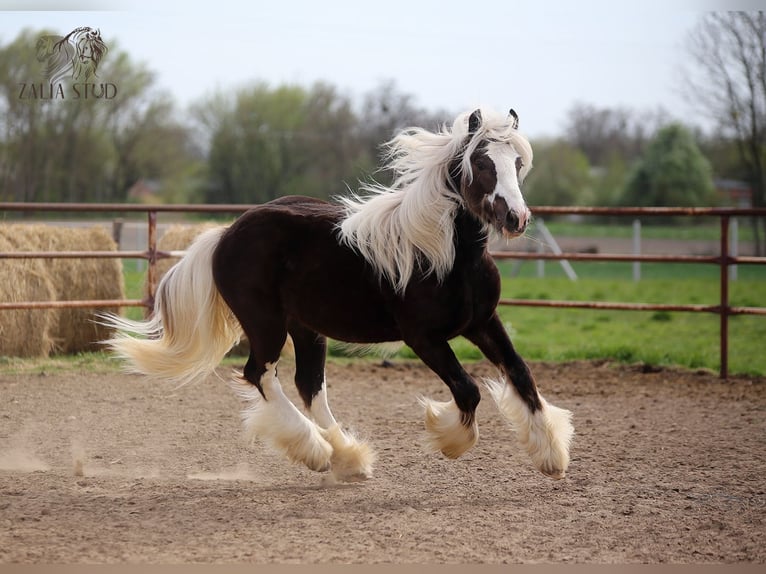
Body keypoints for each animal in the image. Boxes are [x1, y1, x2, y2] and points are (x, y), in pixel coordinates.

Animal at [102, 107, 574, 483]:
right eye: (481, 160)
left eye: (518, 161)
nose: (517, 218)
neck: (446, 255)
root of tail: (225, 234)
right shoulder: (424, 338)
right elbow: (468, 390)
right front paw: (448, 439)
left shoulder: (482, 323)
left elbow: (520, 373)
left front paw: (552, 456)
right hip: (266, 324)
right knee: (260, 375)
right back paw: (317, 453)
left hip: (306, 329)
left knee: (308, 385)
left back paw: (349, 458)